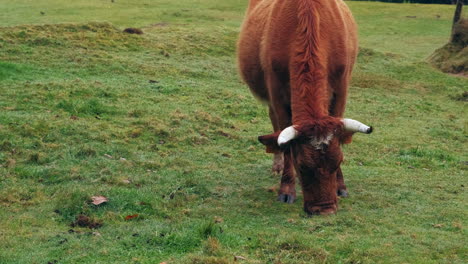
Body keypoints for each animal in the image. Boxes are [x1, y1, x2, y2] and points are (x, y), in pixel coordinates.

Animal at [238, 0, 372, 214]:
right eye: (301, 166)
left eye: (338, 161)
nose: (325, 209)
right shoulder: (277, 94)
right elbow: (284, 143)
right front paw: (286, 189)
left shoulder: (341, 90)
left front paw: (340, 185)